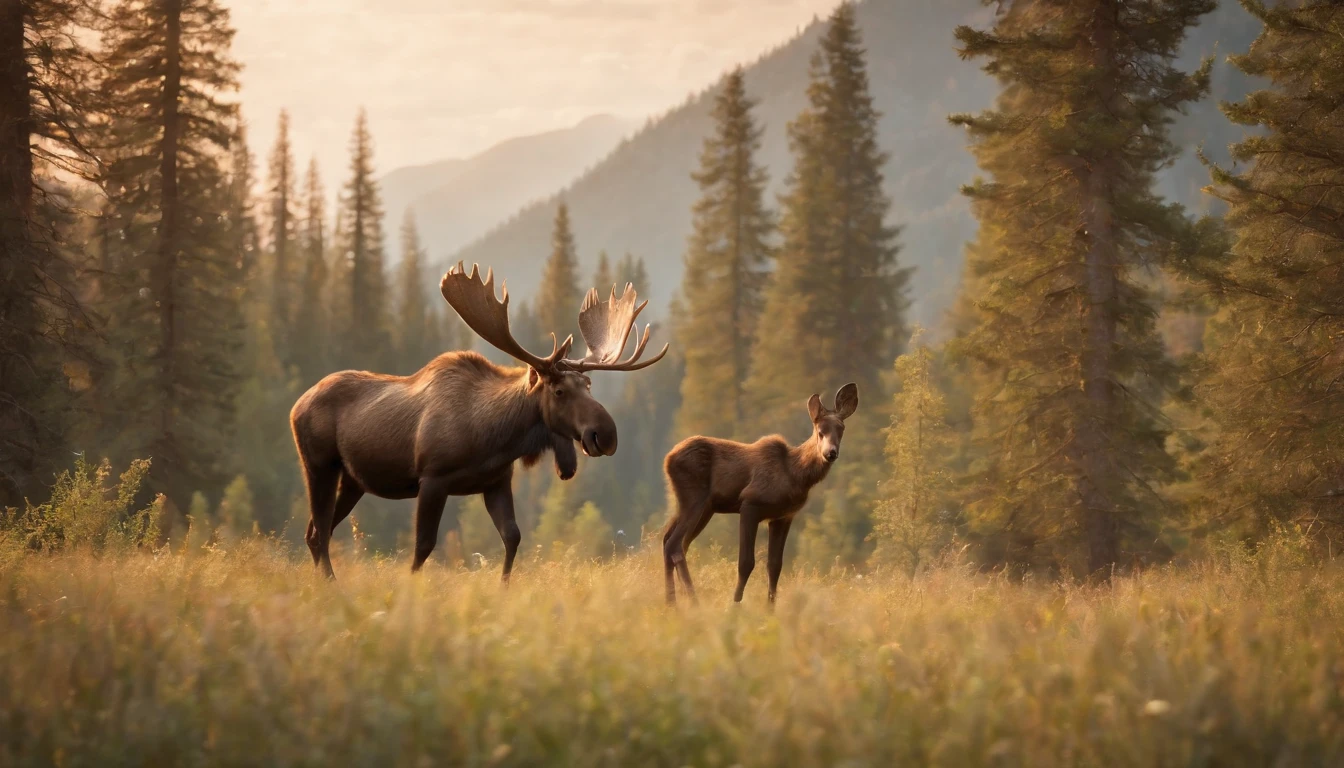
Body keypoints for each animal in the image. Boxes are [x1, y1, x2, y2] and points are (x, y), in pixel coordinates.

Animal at [295, 264, 672, 583]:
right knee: (319, 530)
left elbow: (513, 537)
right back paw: (329, 583)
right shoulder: (432, 478)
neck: (494, 438)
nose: (605, 434)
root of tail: (297, 404)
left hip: (353, 480)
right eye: (559, 390)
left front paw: (502, 587)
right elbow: (423, 545)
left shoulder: (495, 481)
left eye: (589, 385)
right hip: (319, 465)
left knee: (317, 531)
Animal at [661, 384, 860, 607]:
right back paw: (690, 601)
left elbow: (775, 566)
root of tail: (667, 459)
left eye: (841, 429)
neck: (795, 473)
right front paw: (734, 606)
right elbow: (746, 562)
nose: (830, 453)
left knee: (670, 541)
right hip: (694, 499)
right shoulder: (750, 504)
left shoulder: (783, 517)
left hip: (699, 507)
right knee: (675, 544)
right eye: (820, 431)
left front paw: (770, 609)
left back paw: (673, 603)